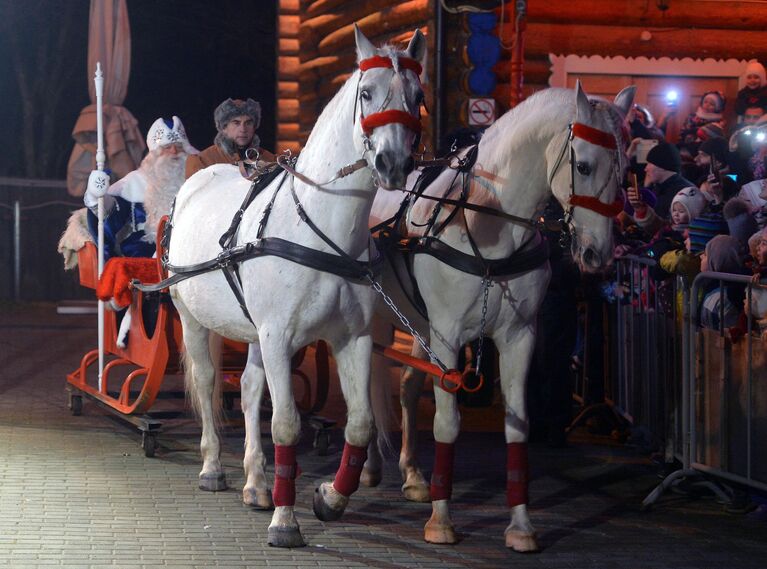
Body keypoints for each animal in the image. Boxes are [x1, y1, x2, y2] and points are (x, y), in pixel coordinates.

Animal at [158, 28, 426, 548]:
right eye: (367, 93)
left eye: (417, 96)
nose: (393, 163)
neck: (321, 229)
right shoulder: (279, 336)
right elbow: (284, 424)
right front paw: (286, 521)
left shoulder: (351, 339)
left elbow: (359, 425)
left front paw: (329, 497)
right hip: (193, 318)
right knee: (207, 382)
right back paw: (212, 468)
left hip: (255, 331)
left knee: (246, 389)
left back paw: (257, 484)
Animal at [366, 84, 636, 552]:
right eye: (583, 165)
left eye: (623, 170)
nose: (597, 254)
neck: (484, 219)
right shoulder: (448, 338)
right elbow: (447, 423)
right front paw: (441, 520)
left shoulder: (518, 337)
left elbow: (517, 427)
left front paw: (521, 526)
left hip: (418, 328)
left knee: (405, 386)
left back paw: (412, 474)